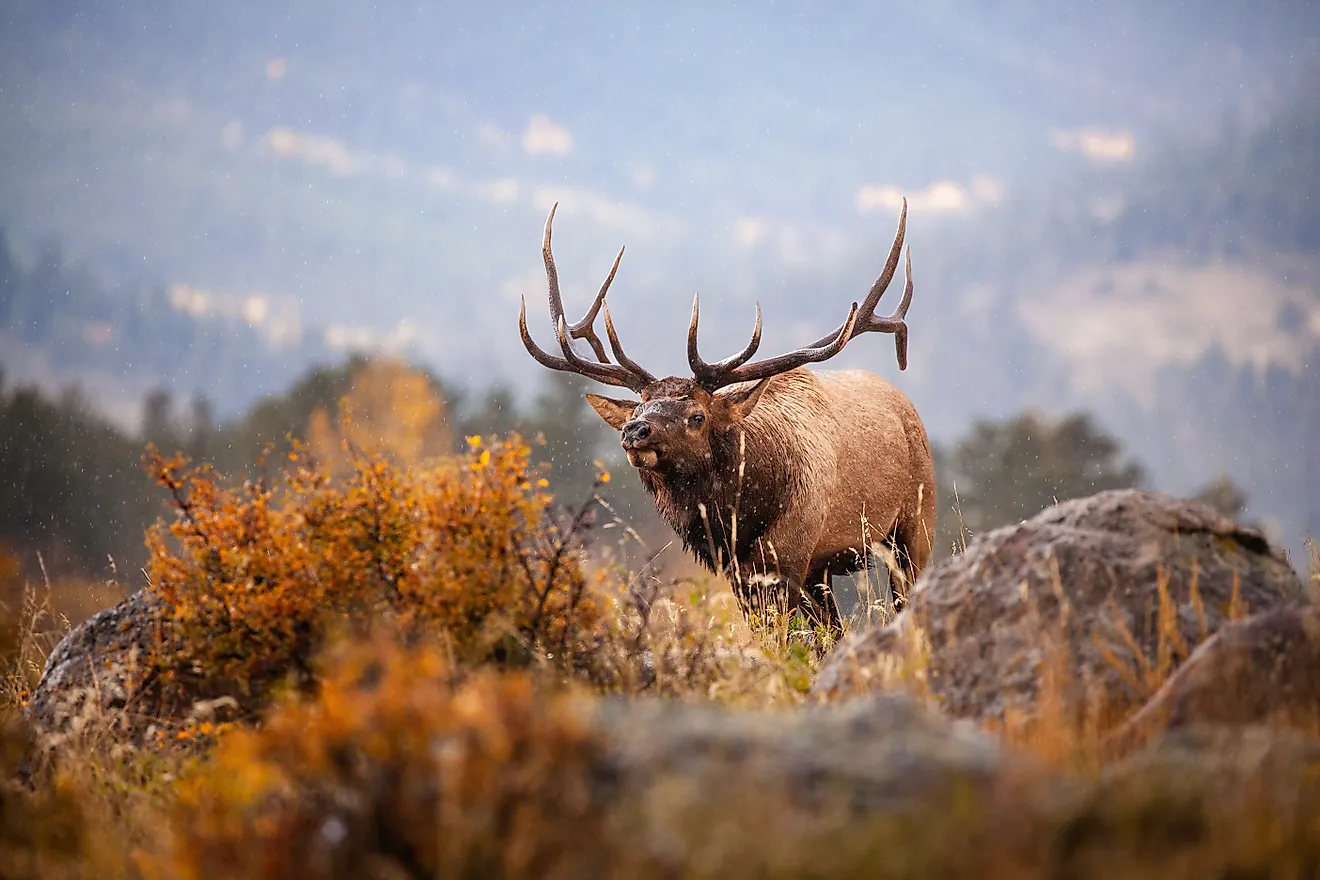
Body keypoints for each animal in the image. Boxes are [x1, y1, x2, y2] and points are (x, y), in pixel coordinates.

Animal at [517, 201, 935, 631]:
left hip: (917, 522)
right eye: (640, 406)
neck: (740, 517)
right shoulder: (742, 573)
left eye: (697, 416)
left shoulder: (789, 555)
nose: (635, 431)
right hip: (827, 568)